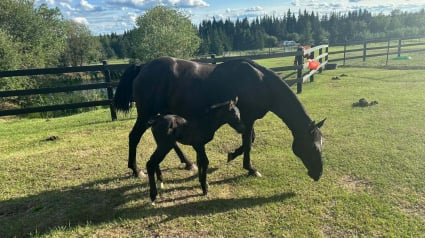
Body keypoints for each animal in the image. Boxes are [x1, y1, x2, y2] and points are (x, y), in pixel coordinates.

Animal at [112, 56, 324, 180]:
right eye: (314, 147)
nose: (318, 174)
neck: (260, 82)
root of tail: (143, 67)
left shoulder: (246, 118)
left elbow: (249, 140)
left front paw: (232, 156)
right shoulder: (248, 118)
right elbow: (248, 141)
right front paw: (249, 168)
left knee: (170, 141)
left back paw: (188, 163)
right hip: (145, 114)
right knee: (134, 137)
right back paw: (136, 170)